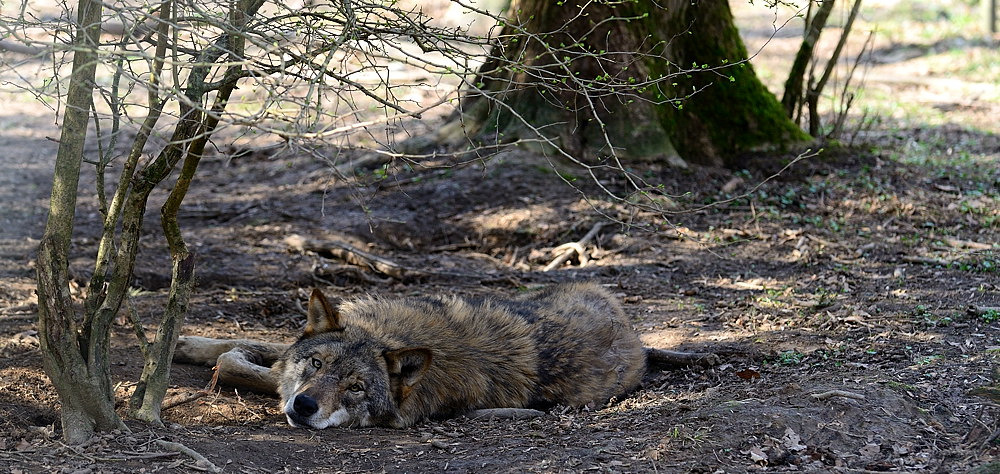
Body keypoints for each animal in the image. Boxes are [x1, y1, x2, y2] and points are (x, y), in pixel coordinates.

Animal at [174, 283, 717, 429]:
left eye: (356, 388)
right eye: (318, 364)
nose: (304, 407)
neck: (391, 333)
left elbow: (247, 367)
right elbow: (253, 352)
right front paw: (187, 341)